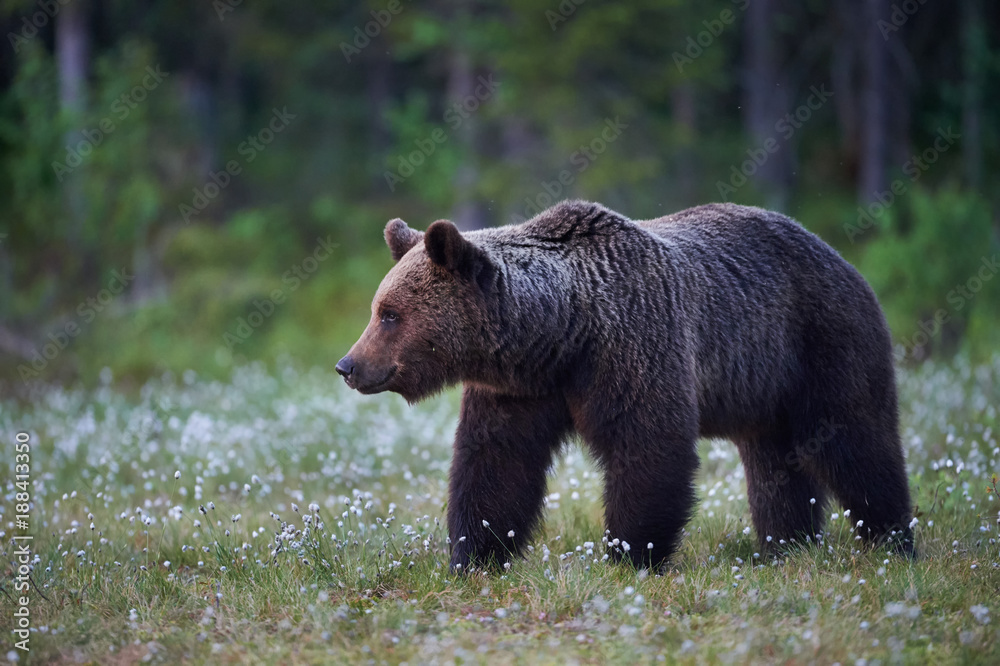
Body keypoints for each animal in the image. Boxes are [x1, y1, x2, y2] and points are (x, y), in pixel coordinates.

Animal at [336, 200, 916, 568]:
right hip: (765, 390)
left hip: (821, 342)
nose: (348, 364)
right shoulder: (521, 390)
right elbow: (495, 462)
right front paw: (474, 555)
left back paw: (892, 539)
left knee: (857, 440)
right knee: (776, 465)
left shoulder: (635, 343)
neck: (561, 332)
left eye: (389, 314)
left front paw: (632, 553)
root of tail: (843, 259)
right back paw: (786, 544)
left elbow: (648, 447)